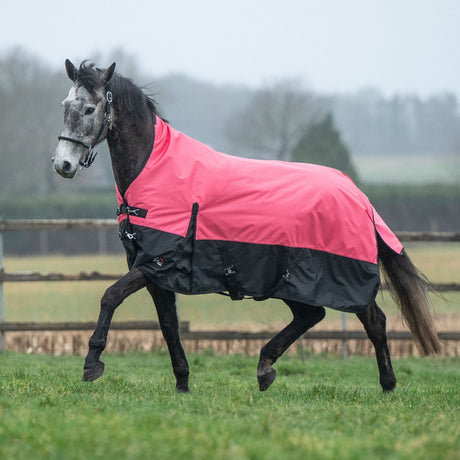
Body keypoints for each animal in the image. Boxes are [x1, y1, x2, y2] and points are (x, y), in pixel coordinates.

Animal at [52, 59, 440, 394]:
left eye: (90, 109)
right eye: (65, 105)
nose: (62, 165)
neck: (155, 169)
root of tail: (358, 195)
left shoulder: (157, 263)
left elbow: (110, 296)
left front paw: (92, 363)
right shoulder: (152, 270)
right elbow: (168, 326)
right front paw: (183, 384)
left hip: (340, 278)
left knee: (373, 321)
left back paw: (387, 385)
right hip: (290, 282)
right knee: (312, 315)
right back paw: (266, 367)